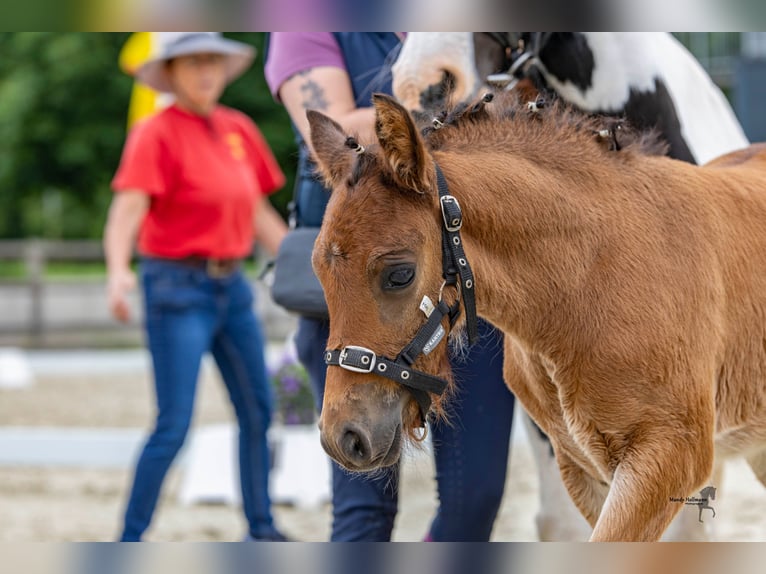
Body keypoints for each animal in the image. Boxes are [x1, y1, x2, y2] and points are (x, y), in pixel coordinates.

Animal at [308, 91, 766, 544]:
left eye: (399, 274)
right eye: (318, 273)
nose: (343, 437)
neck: (586, 281)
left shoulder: (673, 455)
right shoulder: (580, 467)